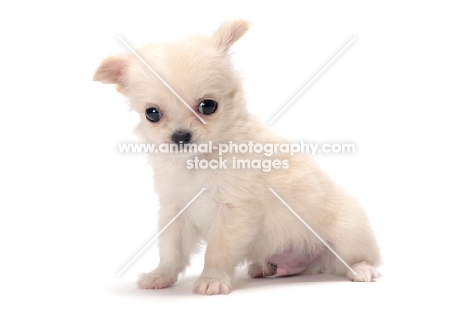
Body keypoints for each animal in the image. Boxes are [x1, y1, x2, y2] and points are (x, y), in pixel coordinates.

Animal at [94, 18, 380, 294]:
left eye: (208, 106)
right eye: (152, 113)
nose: (181, 136)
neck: (200, 161)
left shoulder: (234, 213)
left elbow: (217, 252)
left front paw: (211, 279)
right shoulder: (176, 211)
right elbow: (171, 250)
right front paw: (160, 275)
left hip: (348, 233)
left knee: (360, 256)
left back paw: (362, 269)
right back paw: (265, 268)